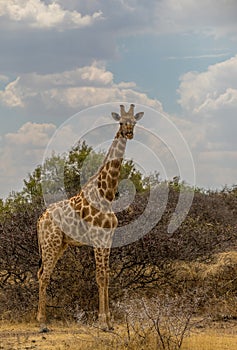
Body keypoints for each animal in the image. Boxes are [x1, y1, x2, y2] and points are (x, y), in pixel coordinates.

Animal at [36, 103, 143, 330]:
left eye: (134, 122)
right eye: (121, 122)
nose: (129, 133)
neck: (106, 194)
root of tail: (40, 220)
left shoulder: (108, 238)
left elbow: (107, 276)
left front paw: (109, 321)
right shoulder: (97, 237)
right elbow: (100, 276)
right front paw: (102, 321)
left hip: (60, 245)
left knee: (42, 273)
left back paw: (41, 318)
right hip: (50, 243)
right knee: (44, 275)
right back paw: (42, 321)